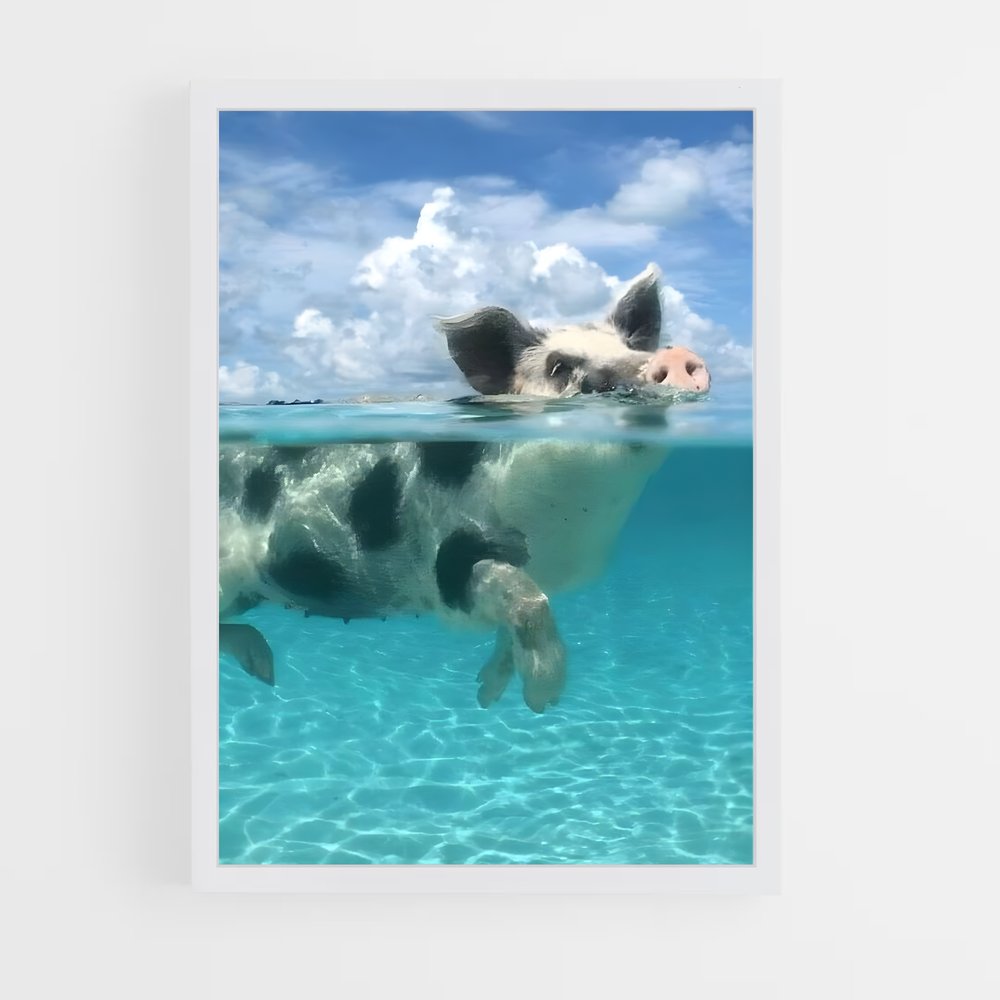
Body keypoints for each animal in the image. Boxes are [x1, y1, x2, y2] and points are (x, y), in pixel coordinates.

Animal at [218, 265, 711, 713]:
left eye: (631, 347)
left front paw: (488, 697)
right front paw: (543, 700)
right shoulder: (453, 559)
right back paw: (266, 669)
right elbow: (528, 599)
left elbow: (511, 624)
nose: (673, 358)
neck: (573, 524)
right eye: (558, 366)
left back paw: (264, 671)